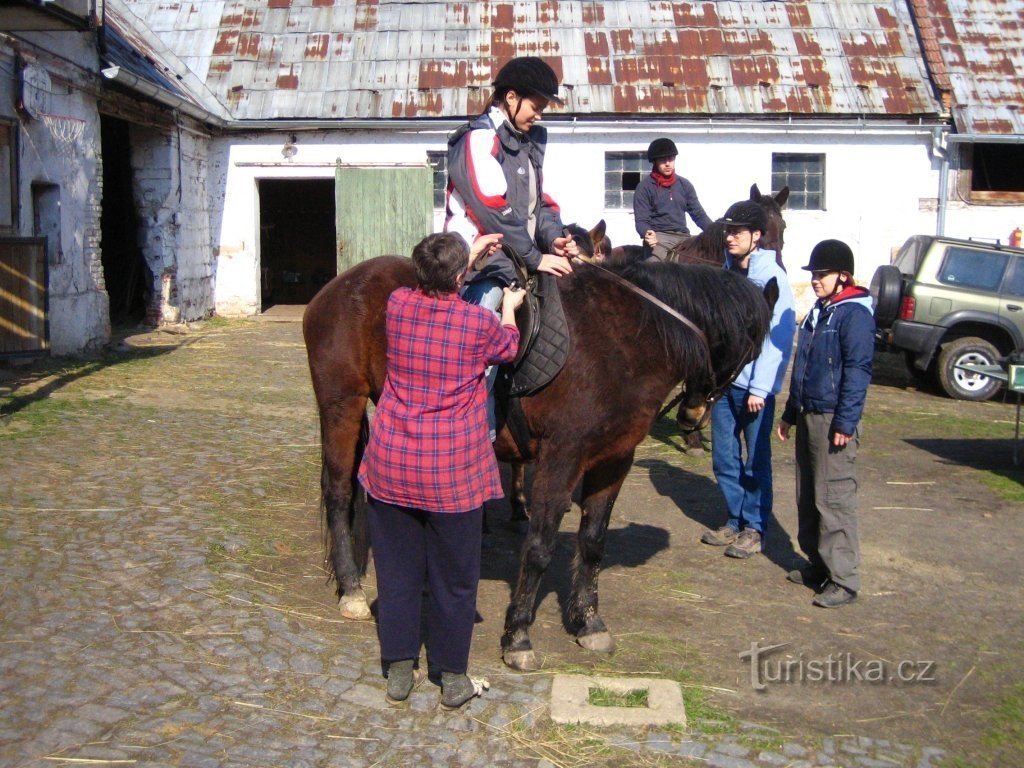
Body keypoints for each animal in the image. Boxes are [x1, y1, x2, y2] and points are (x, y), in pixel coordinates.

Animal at [301, 241, 774, 671]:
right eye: (748, 351)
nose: (693, 416)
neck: (621, 338)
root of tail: (339, 286)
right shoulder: (561, 456)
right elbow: (540, 547)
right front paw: (518, 636)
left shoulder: (614, 460)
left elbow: (593, 541)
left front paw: (588, 623)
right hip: (342, 404)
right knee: (339, 492)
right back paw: (351, 590)